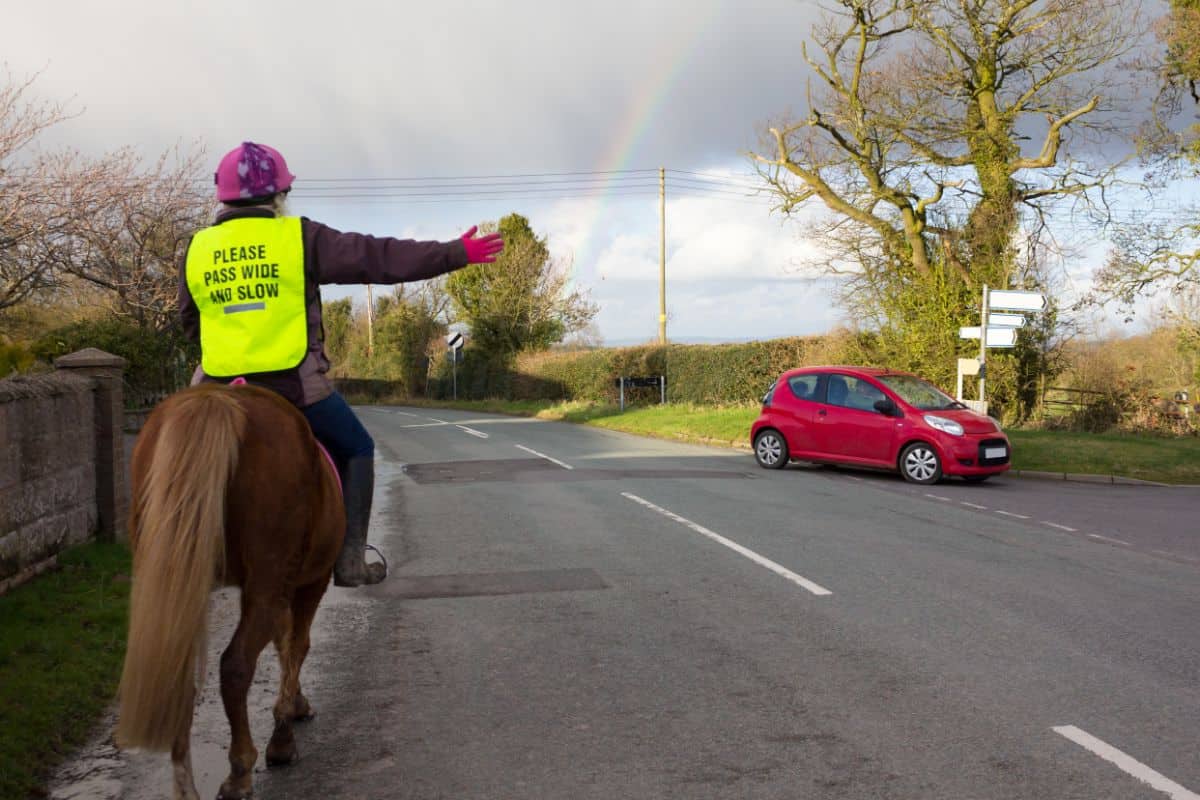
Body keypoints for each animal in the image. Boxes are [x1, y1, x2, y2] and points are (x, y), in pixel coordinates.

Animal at [116, 381, 345, 800]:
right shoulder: (309, 582)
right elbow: (295, 646)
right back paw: (241, 770)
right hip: (271, 581)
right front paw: (284, 733)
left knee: (182, 674)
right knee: (237, 664)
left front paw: (293, 708)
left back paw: (187, 787)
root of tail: (218, 400)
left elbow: (285, 645)